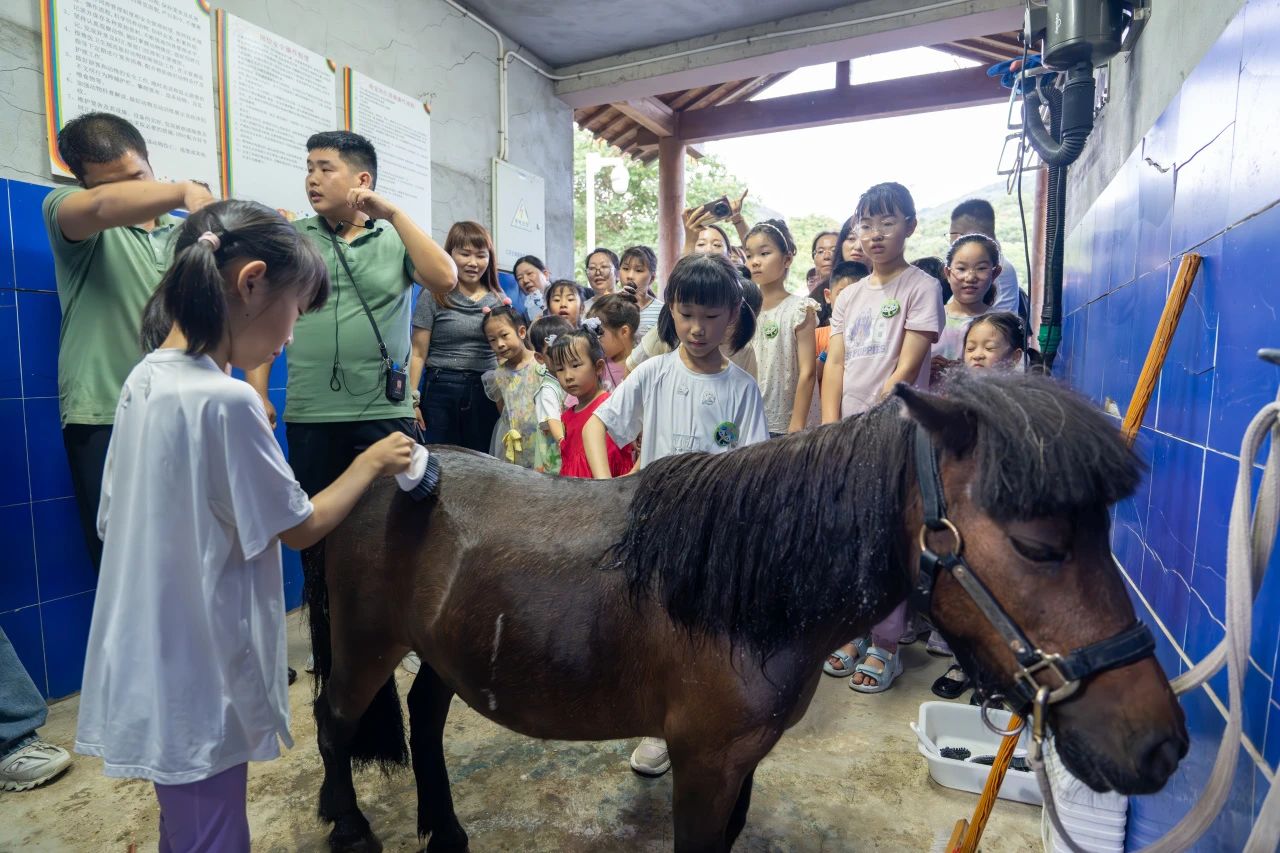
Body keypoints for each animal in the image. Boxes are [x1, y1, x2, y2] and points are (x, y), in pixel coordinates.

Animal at [305, 371, 1189, 852]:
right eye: (1040, 543)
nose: (1162, 745)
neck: (738, 587)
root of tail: (376, 473)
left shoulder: (741, 761)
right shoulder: (704, 764)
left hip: (443, 652)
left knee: (423, 719)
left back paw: (445, 829)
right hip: (364, 644)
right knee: (335, 718)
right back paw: (348, 825)